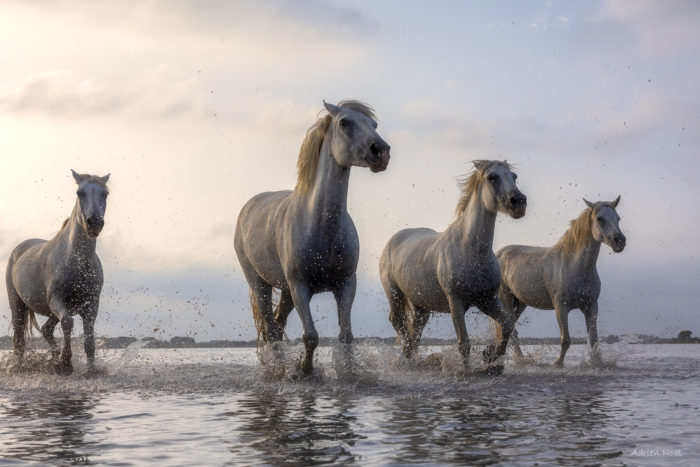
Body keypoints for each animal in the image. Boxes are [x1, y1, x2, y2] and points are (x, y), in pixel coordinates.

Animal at [6, 170, 109, 374]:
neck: (76, 263)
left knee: (46, 329)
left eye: (105, 194)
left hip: (51, 312)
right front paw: (65, 364)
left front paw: (91, 369)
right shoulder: (57, 301)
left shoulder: (91, 305)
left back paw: (52, 360)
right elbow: (68, 323)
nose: (94, 223)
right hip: (18, 305)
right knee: (19, 337)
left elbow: (89, 338)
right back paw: (21, 366)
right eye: (80, 193)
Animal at [234, 100, 390, 376]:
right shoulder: (301, 287)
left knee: (278, 324)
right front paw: (304, 370)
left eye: (374, 124)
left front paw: (347, 372)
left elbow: (346, 336)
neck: (321, 227)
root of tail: (248, 208)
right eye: (343, 122)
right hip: (259, 282)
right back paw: (279, 369)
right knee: (271, 329)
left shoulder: (345, 285)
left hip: (285, 290)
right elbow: (311, 336)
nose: (381, 152)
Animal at [379, 160, 527, 374]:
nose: (519, 202)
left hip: (421, 305)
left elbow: (507, 326)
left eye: (514, 176)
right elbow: (464, 343)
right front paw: (467, 370)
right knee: (398, 322)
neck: (471, 250)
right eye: (492, 177)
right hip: (395, 293)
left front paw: (492, 360)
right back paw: (405, 359)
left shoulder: (487, 300)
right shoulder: (455, 301)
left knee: (415, 330)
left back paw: (412, 360)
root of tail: (392, 240)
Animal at [496, 197, 626, 366]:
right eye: (600, 219)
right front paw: (558, 362)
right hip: (505, 299)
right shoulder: (561, 308)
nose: (620, 241)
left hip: (519, 304)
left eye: (618, 218)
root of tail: (498, 255)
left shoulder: (591, 307)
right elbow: (566, 339)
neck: (575, 266)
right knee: (511, 331)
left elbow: (594, 339)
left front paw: (598, 362)